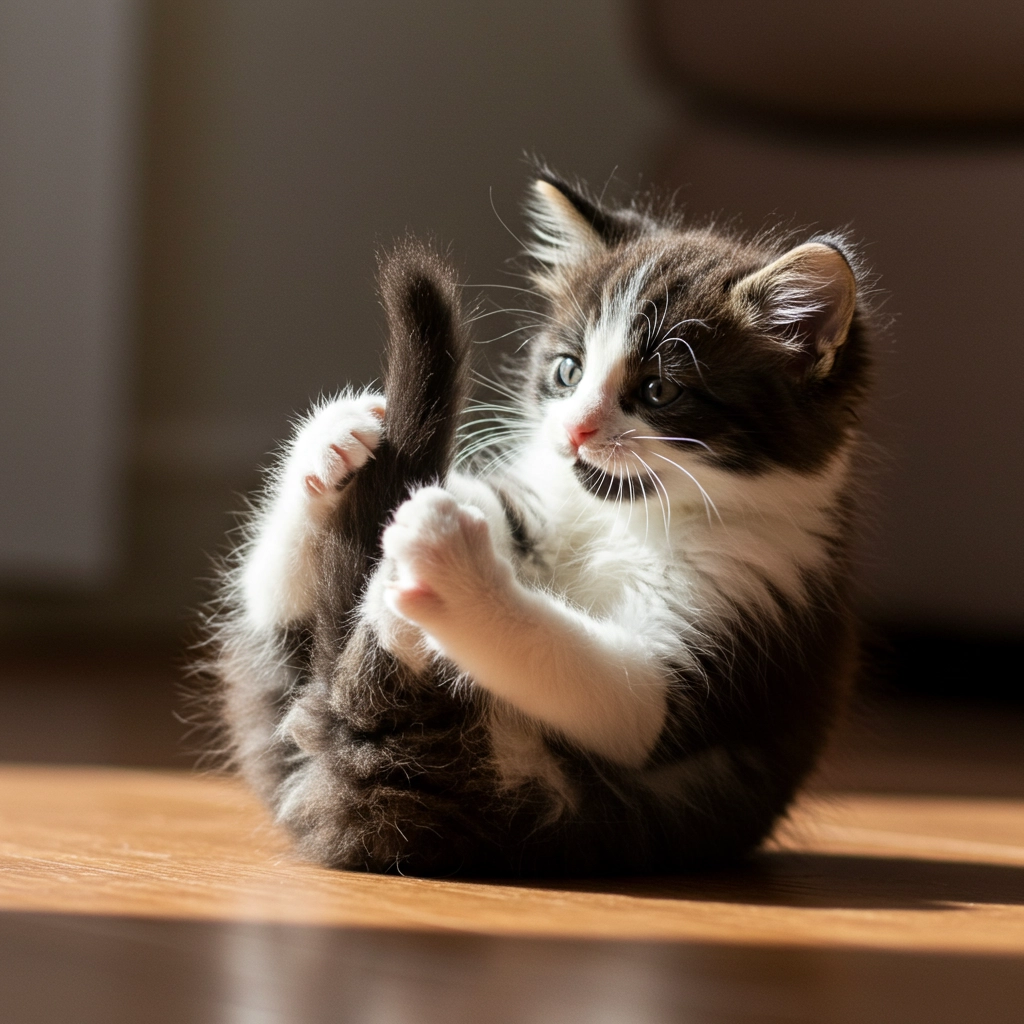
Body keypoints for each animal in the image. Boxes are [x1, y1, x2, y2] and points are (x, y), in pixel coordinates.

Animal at [207, 172, 872, 876]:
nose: (575, 428)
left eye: (660, 391)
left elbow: (600, 679)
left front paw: (454, 568)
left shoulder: (744, 611)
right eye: (568, 371)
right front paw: (335, 437)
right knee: (278, 610)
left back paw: (399, 615)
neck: (625, 519)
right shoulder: (525, 506)